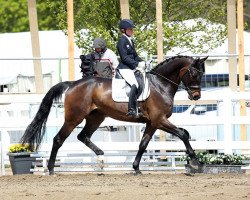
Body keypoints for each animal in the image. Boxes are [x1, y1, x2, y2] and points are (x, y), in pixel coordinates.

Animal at [21, 55, 207, 174]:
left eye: (202, 74)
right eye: (194, 73)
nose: (196, 96)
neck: (160, 85)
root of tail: (73, 84)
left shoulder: (152, 123)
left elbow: (143, 144)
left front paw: (136, 168)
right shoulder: (159, 120)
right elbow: (182, 134)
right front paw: (196, 163)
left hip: (96, 117)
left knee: (83, 136)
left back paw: (101, 158)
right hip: (74, 118)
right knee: (59, 139)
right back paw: (52, 169)